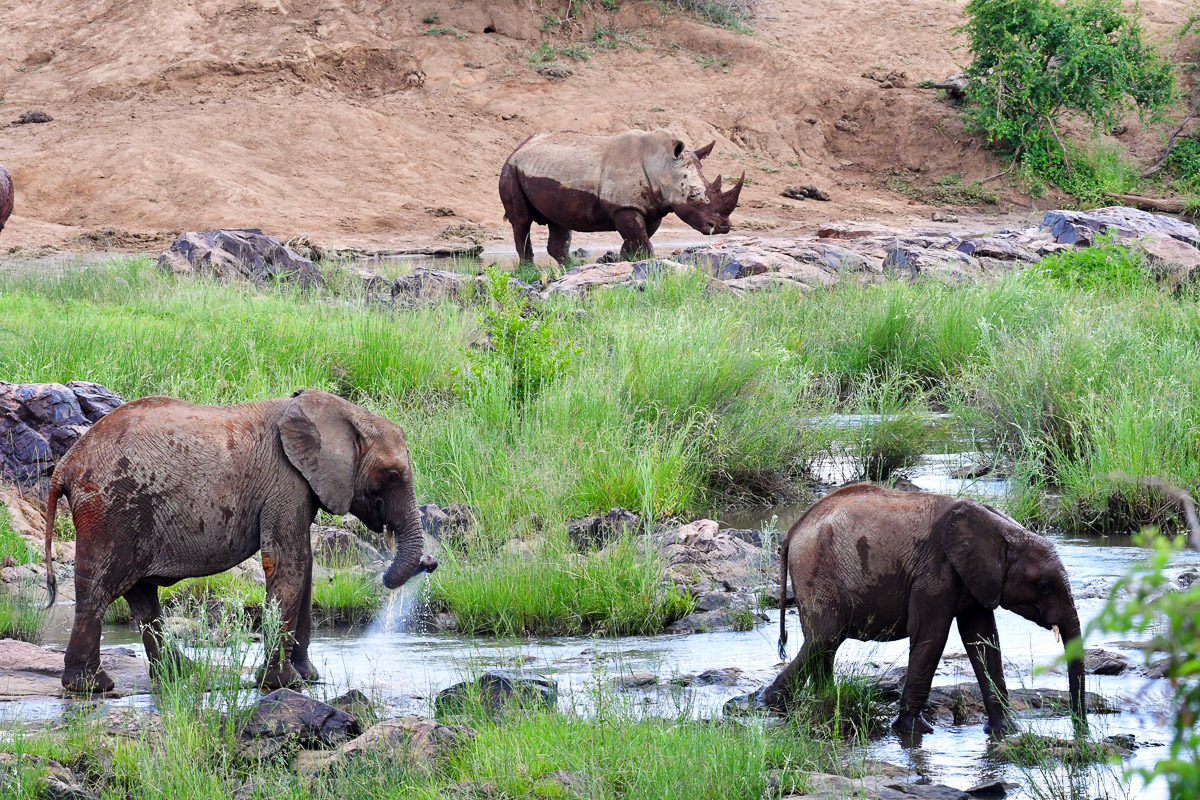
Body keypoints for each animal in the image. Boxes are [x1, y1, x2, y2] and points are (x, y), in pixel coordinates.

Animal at [43, 389, 438, 694]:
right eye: (392, 475)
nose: (429, 564)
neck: (341, 413)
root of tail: (66, 464)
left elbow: (305, 569)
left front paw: (307, 678)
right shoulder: (286, 482)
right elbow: (288, 563)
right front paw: (281, 684)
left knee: (140, 595)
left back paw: (179, 674)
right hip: (111, 508)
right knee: (100, 589)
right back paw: (92, 686)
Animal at [499, 129, 743, 265]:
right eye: (692, 196)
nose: (722, 227)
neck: (663, 165)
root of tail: (519, 147)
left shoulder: (651, 208)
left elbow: (638, 240)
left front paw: (627, 261)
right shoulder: (624, 207)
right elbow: (642, 242)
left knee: (559, 222)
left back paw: (572, 269)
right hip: (511, 169)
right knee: (521, 221)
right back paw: (529, 270)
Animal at [764, 484, 1085, 736]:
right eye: (1043, 586)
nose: (1081, 728)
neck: (1001, 529)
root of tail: (793, 531)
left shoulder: (976, 579)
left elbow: (983, 640)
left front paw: (1005, 730)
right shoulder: (934, 572)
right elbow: (932, 636)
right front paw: (913, 729)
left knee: (825, 643)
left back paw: (820, 698)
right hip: (816, 570)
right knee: (824, 638)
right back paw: (773, 701)